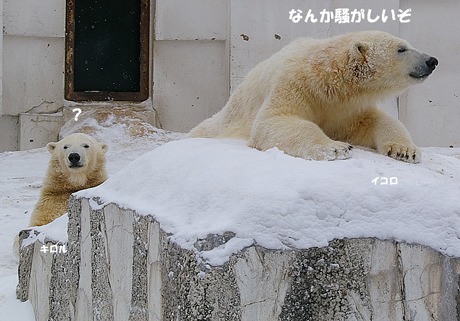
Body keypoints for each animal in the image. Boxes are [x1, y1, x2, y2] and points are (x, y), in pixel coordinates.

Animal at [188, 30, 438, 162]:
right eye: (401, 49)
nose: (431, 60)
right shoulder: (294, 83)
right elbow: (274, 121)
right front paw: (336, 148)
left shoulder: (345, 108)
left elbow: (373, 122)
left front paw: (404, 150)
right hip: (217, 125)